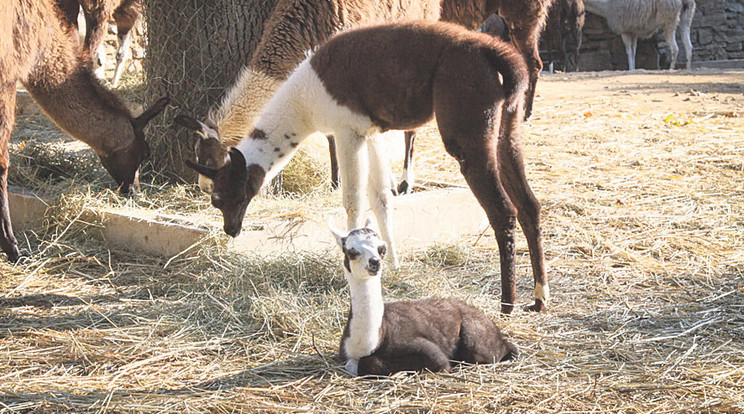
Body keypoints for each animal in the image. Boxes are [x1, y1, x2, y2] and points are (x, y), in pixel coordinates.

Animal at [184, 18, 548, 310]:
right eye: (217, 201)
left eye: (226, 197)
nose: (231, 230)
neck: (304, 104)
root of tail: (494, 52)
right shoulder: (370, 132)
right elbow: (382, 198)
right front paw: (393, 263)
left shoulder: (349, 130)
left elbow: (353, 201)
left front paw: (351, 262)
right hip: (507, 127)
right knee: (530, 205)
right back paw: (539, 298)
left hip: (468, 124)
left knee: (504, 211)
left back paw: (507, 305)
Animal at [332, 225, 516, 376]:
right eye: (352, 252)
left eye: (381, 249)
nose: (374, 262)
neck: (374, 341)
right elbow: (354, 364)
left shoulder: (427, 351)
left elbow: (370, 363)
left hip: (476, 338)